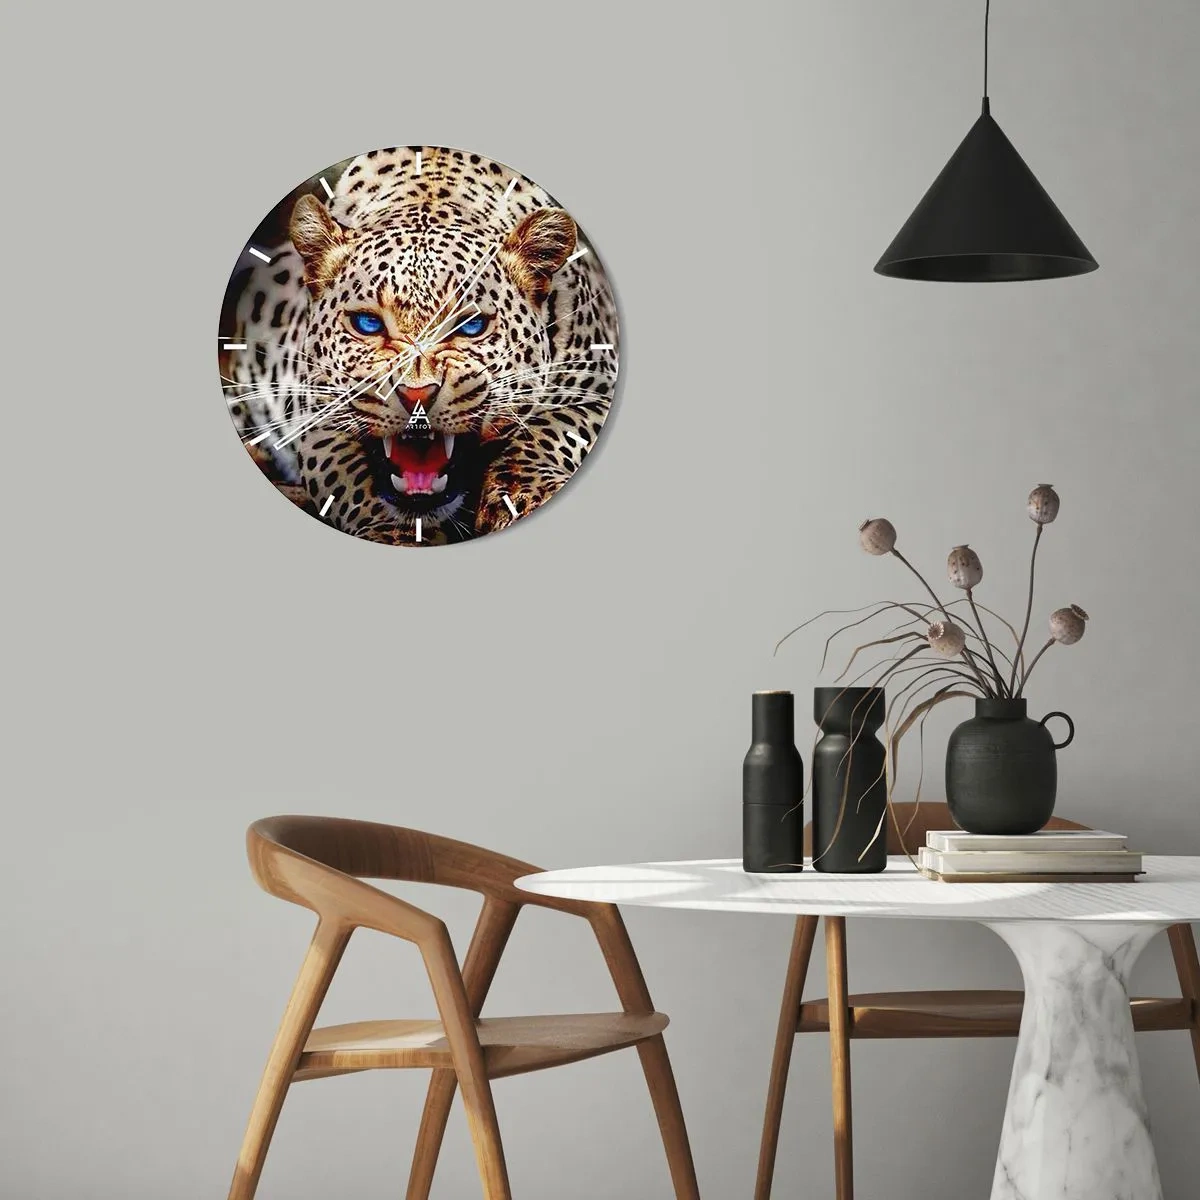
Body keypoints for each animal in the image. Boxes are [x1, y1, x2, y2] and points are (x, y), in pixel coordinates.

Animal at [220, 147, 619, 546]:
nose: (416, 396)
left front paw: (526, 494)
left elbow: (544, 433)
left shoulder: (597, 386)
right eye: (368, 324)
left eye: (471, 325)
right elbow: (353, 480)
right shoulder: (318, 416)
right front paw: (395, 533)